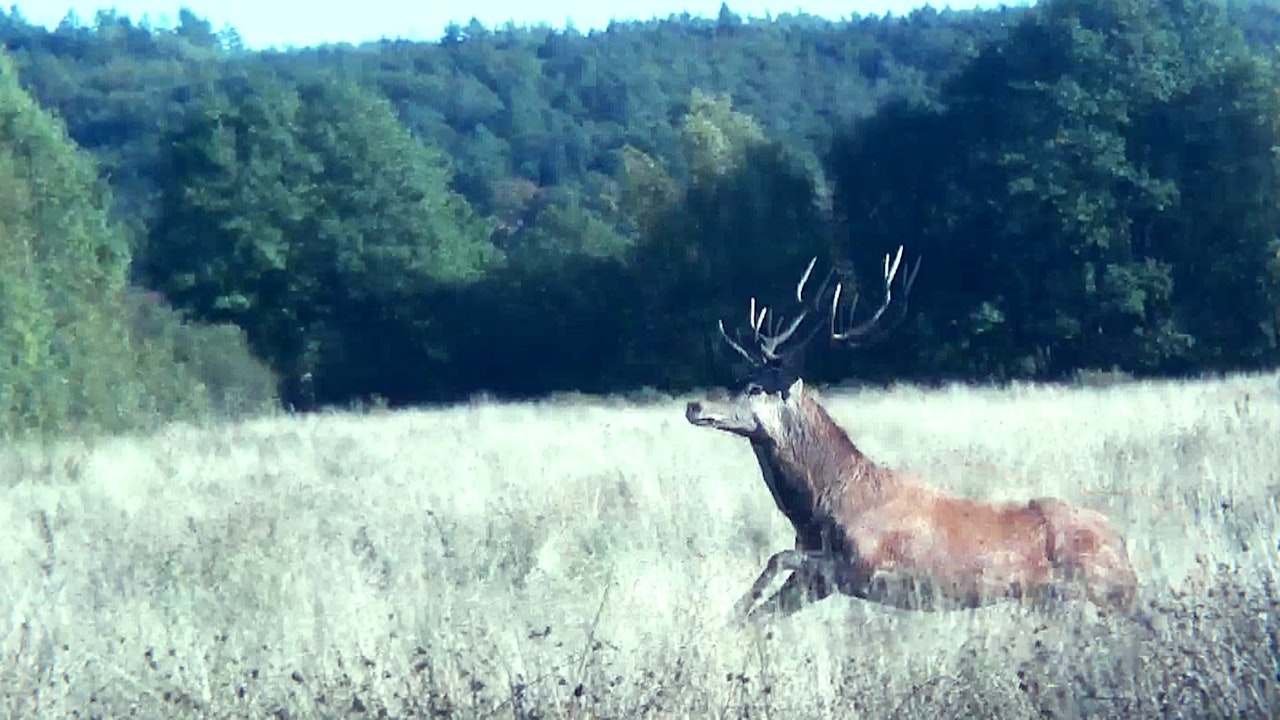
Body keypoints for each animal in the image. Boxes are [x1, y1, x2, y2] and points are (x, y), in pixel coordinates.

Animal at [691, 245, 1141, 617]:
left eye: (755, 387)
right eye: (742, 377)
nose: (695, 405)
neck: (819, 510)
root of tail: (1127, 553)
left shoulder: (864, 565)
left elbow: (775, 559)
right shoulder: (819, 578)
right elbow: (762, 606)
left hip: (1092, 594)